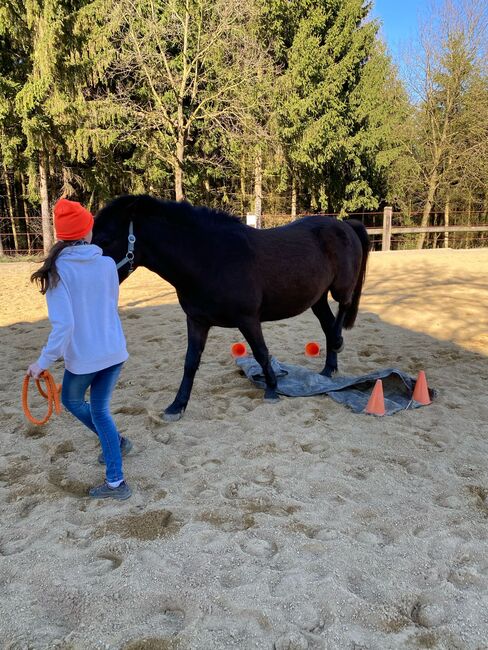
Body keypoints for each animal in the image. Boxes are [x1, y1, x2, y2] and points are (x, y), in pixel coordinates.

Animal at [93, 192, 370, 420]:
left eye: (105, 239)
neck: (211, 259)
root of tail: (345, 224)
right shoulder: (197, 321)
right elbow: (190, 362)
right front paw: (176, 406)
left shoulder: (248, 319)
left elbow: (261, 352)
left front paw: (272, 390)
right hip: (317, 298)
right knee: (327, 324)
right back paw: (328, 369)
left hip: (339, 287)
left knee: (342, 309)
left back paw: (337, 343)